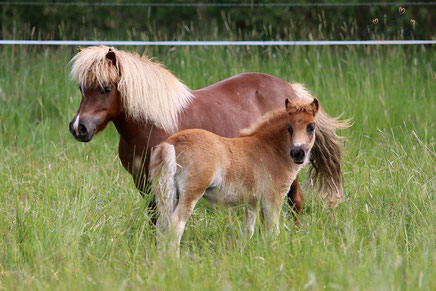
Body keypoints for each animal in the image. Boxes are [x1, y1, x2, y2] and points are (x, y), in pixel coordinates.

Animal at [67, 46, 348, 214]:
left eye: (105, 88)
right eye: (81, 89)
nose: (79, 128)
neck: (154, 124)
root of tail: (292, 91)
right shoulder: (143, 181)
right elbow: (153, 215)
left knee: (296, 201)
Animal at [148, 97, 318, 252]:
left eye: (311, 127)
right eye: (289, 127)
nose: (298, 153)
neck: (271, 148)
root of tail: (172, 142)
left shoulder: (252, 202)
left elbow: (248, 231)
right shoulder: (273, 199)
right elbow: (272, 231)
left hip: (167, 193)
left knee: (162, 225)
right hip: (191, 193)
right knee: (175, 224)